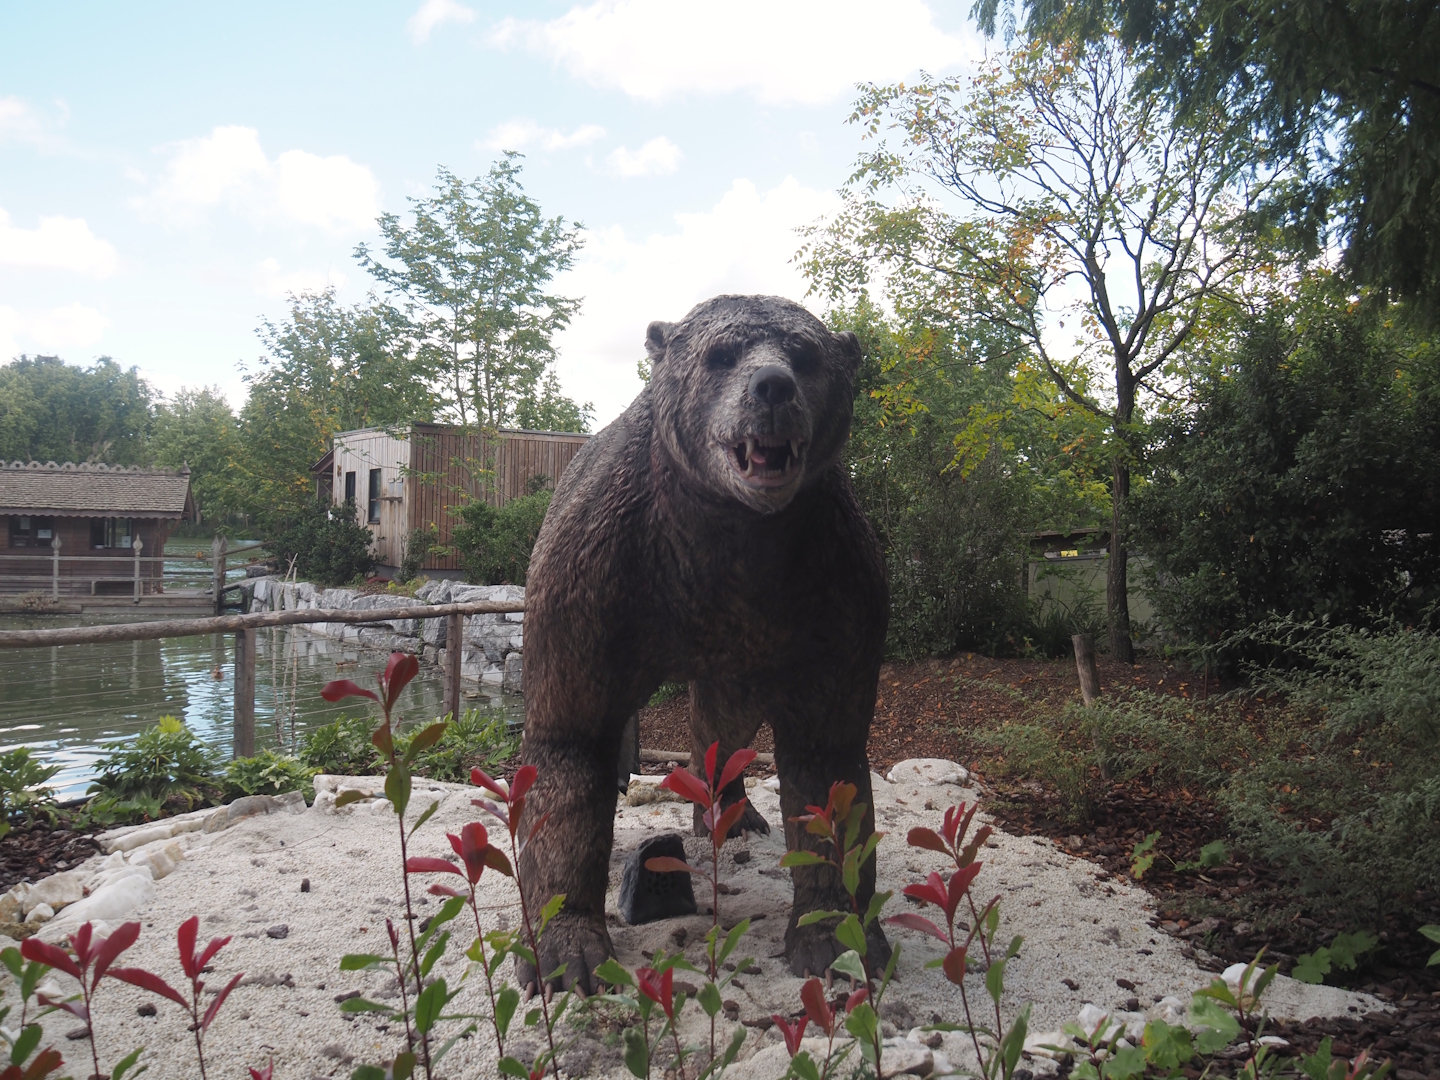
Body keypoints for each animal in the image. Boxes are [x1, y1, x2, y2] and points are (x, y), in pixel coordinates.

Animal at [515, 294, 889, 993]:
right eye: (722, 354)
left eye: (805, 355)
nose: (772, 386)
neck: (725, 534)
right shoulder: (591, 576)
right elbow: (569, 751)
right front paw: (565, 942)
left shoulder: (839, 586)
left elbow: (826, 766)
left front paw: (834, 934)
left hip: (740, 660)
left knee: (726, 725)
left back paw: (730, 815)